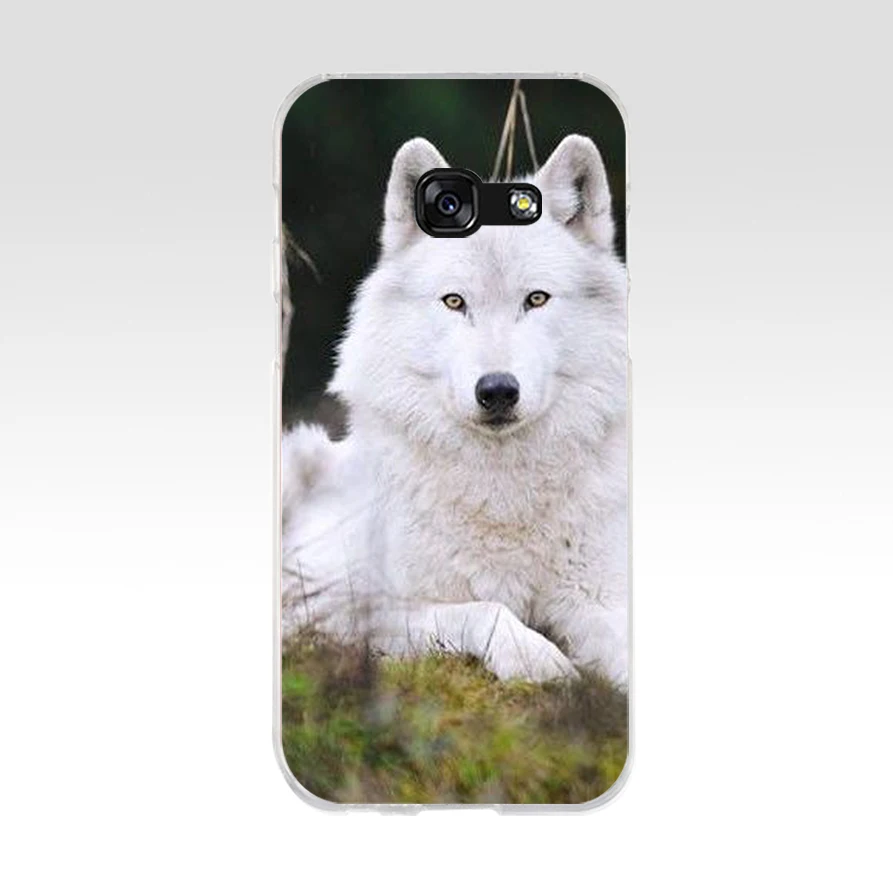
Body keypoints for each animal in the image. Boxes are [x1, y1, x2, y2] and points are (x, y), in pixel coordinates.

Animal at [281, 134, 628, 683]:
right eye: (454, 302)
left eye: (536, 299)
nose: (498, 391)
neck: (503, 495)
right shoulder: (332, 609)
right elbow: (484, 609)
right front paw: (535, 656)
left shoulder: (601, 598)